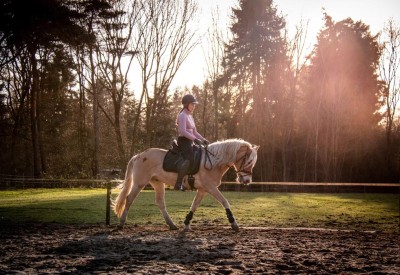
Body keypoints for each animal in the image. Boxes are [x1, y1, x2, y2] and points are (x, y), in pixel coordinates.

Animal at [112, 139, 260, 232]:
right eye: (248, 162)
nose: (247, 181)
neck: (213, 162)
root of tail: (138, 155)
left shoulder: (203, 190)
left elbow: (194, 205)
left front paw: (187, 224)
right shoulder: (211, 188)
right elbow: (225, 201)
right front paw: (234, 223)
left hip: (157, 183)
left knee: (160, 202)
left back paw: (172, 225)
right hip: (139, 183)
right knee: (129, 199)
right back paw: (121, 224)